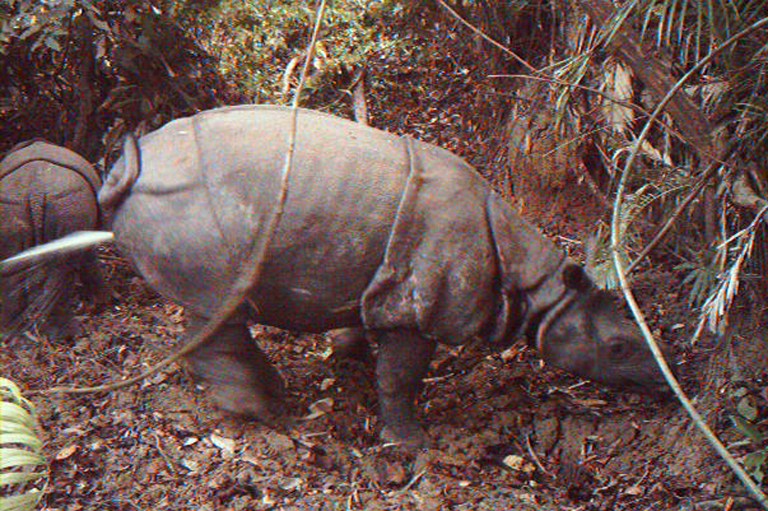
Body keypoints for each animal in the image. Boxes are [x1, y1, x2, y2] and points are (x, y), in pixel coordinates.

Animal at [0, 140, 105, 339]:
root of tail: (36, 192)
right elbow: (90, 263)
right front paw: (104, 301)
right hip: (67, 201)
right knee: (62, 266)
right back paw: (68, 335)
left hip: (18, 205)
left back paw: (13, 334)